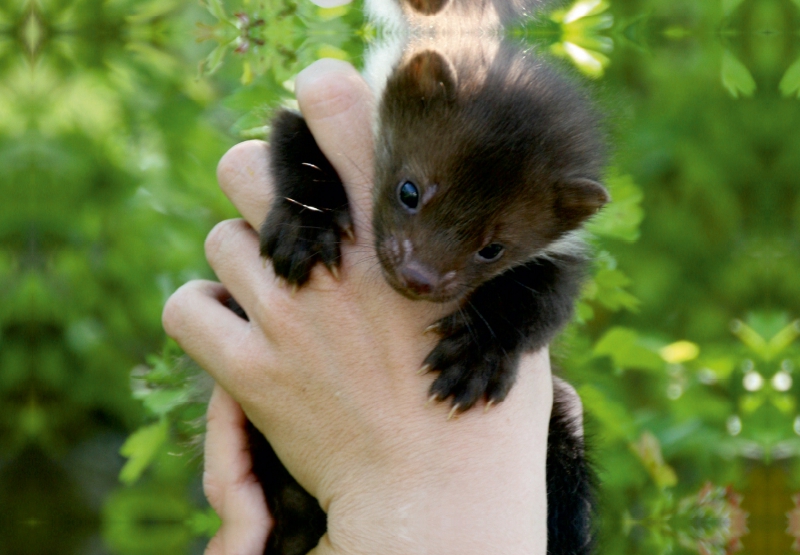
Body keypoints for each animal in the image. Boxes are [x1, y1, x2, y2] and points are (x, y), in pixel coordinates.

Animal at [253, 40, 604, 555]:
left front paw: (474, 360)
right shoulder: (297, 122)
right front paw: (304, 231)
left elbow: (541, 302)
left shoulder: (561, 260)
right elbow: (292, 142)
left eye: (494, 247)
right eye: (409, 190)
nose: (419, 276)